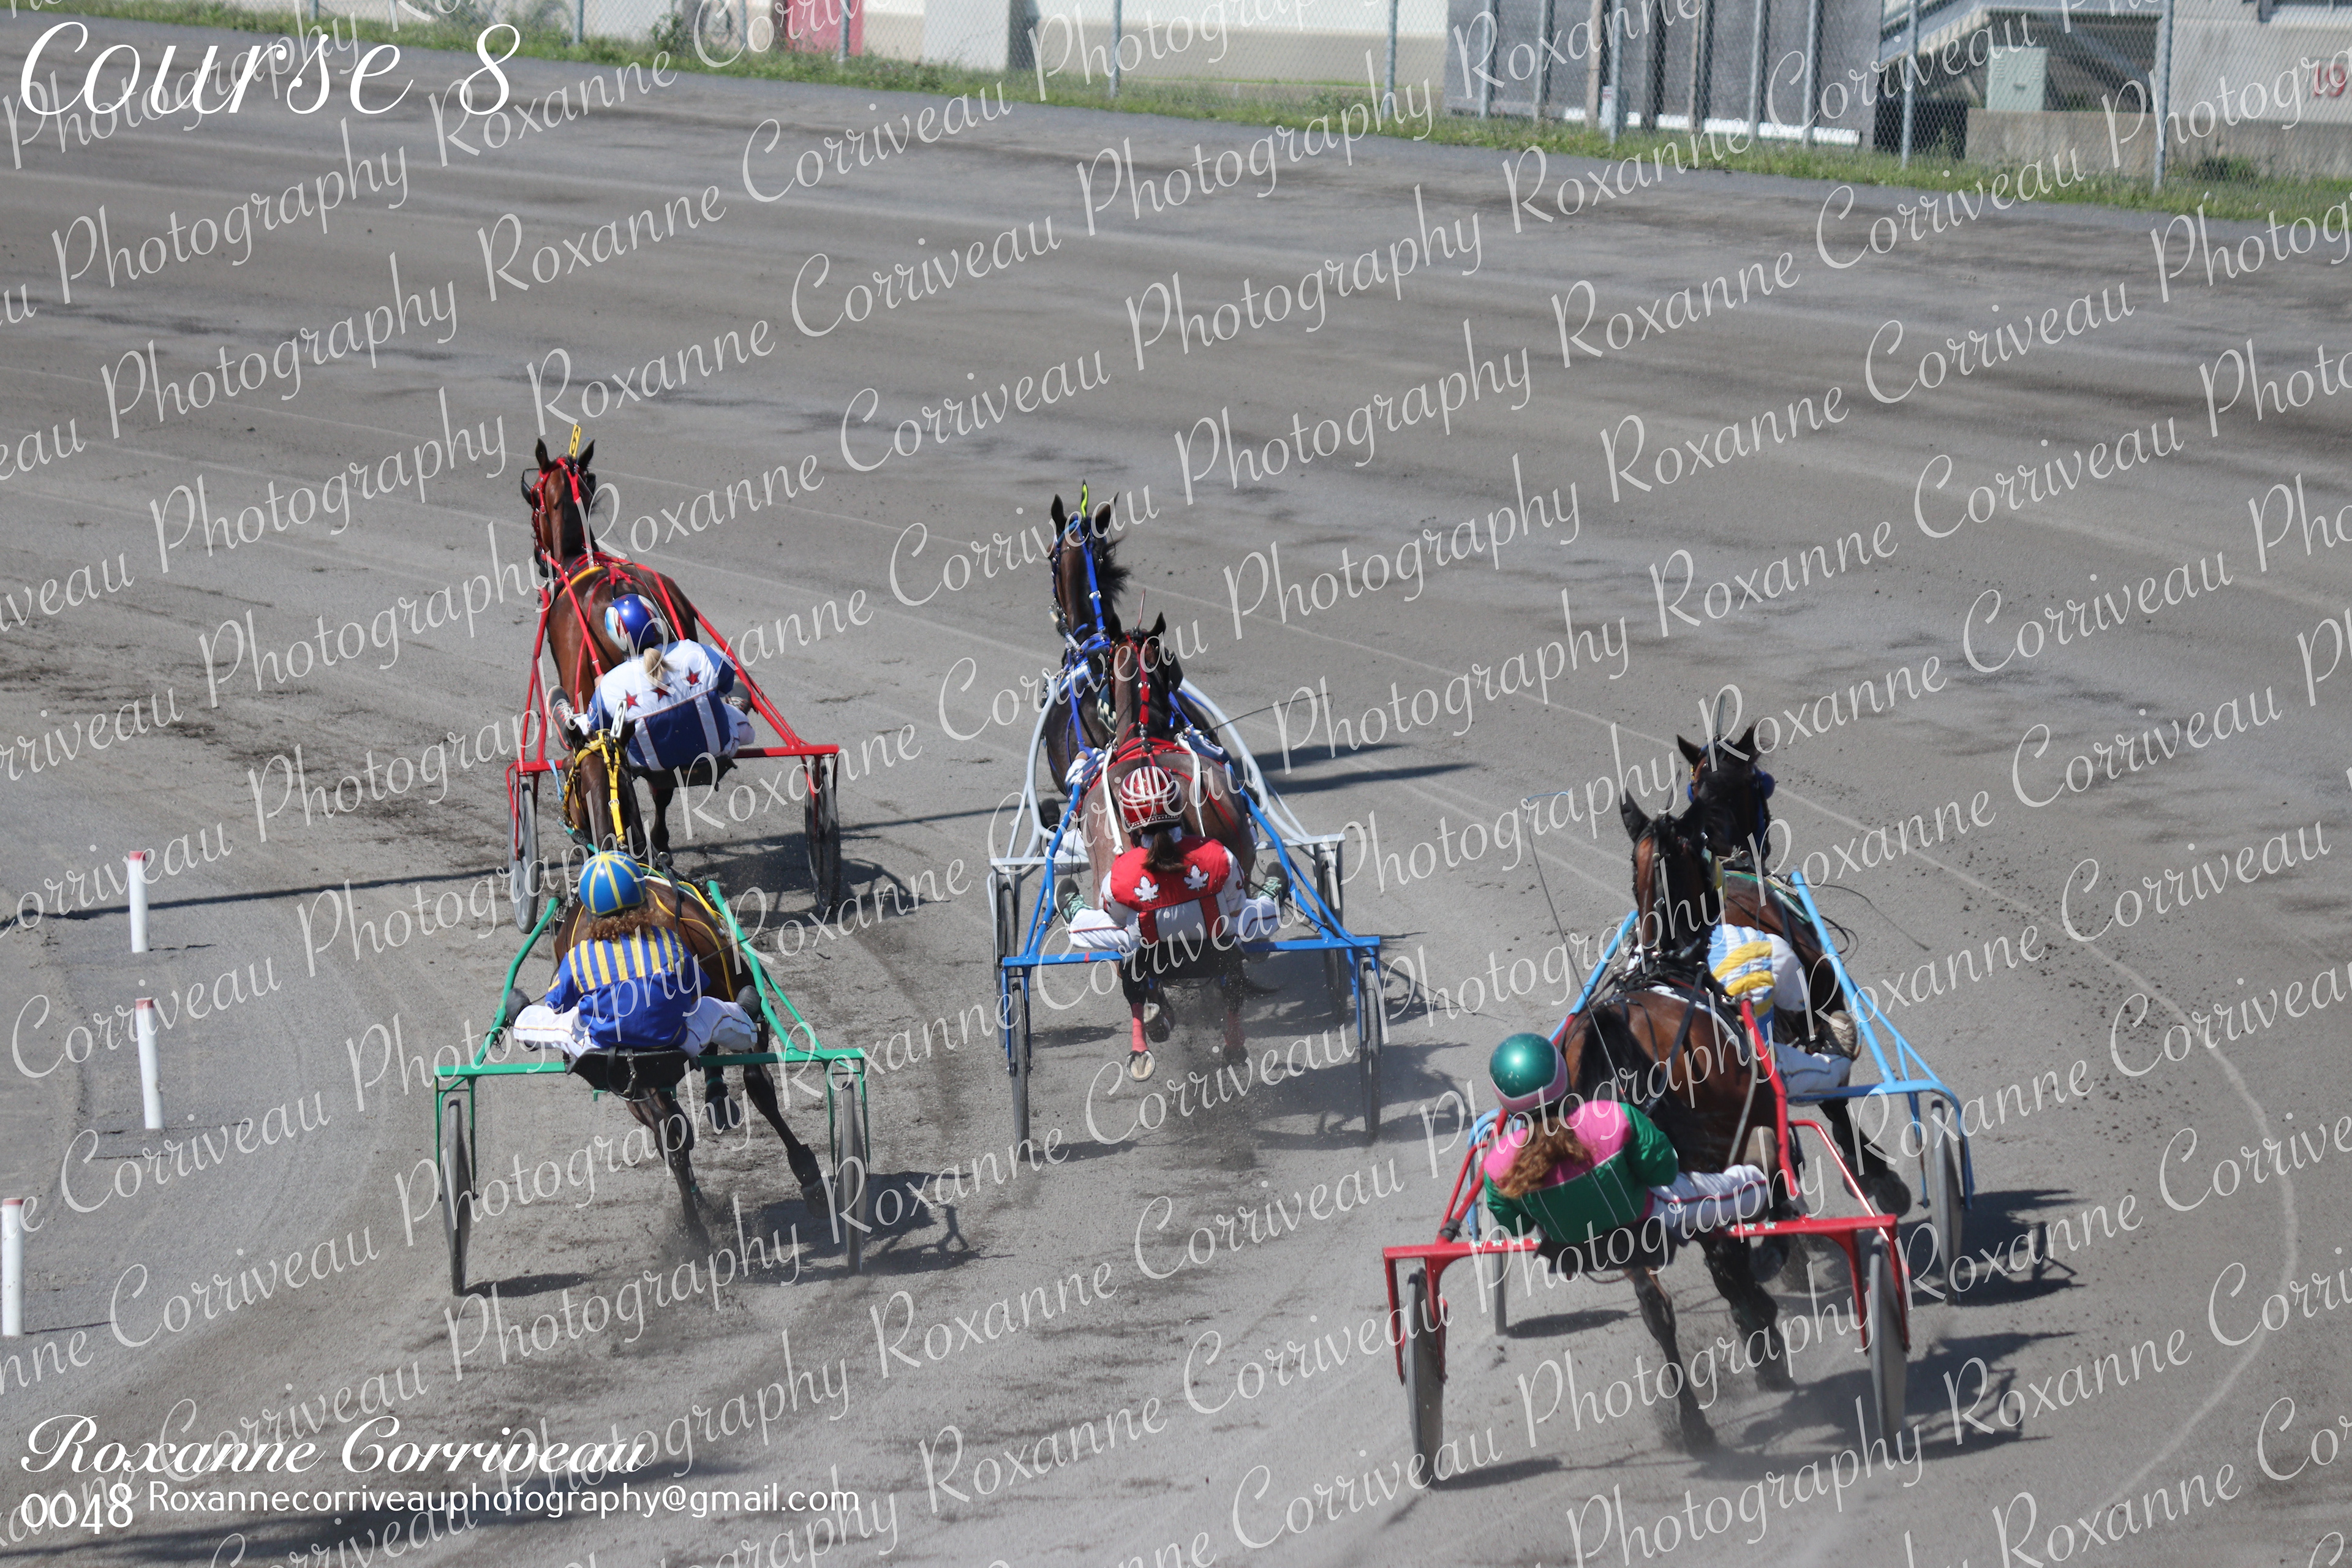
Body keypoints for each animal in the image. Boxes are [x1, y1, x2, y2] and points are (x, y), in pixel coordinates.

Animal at [526, 438, 718, 861]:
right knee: (660, 784)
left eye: (532, 497)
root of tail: (623, 587)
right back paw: (656, 845)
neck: (580, 560)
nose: (537, 556)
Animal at [1536, 795, 1791, 1453]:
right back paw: (1765, 1342)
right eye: (1705, 846)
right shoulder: (1750, 1123)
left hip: (1619, 1209)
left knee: (1656, 1306)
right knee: (1724, 1262)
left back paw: (1696, 1421)